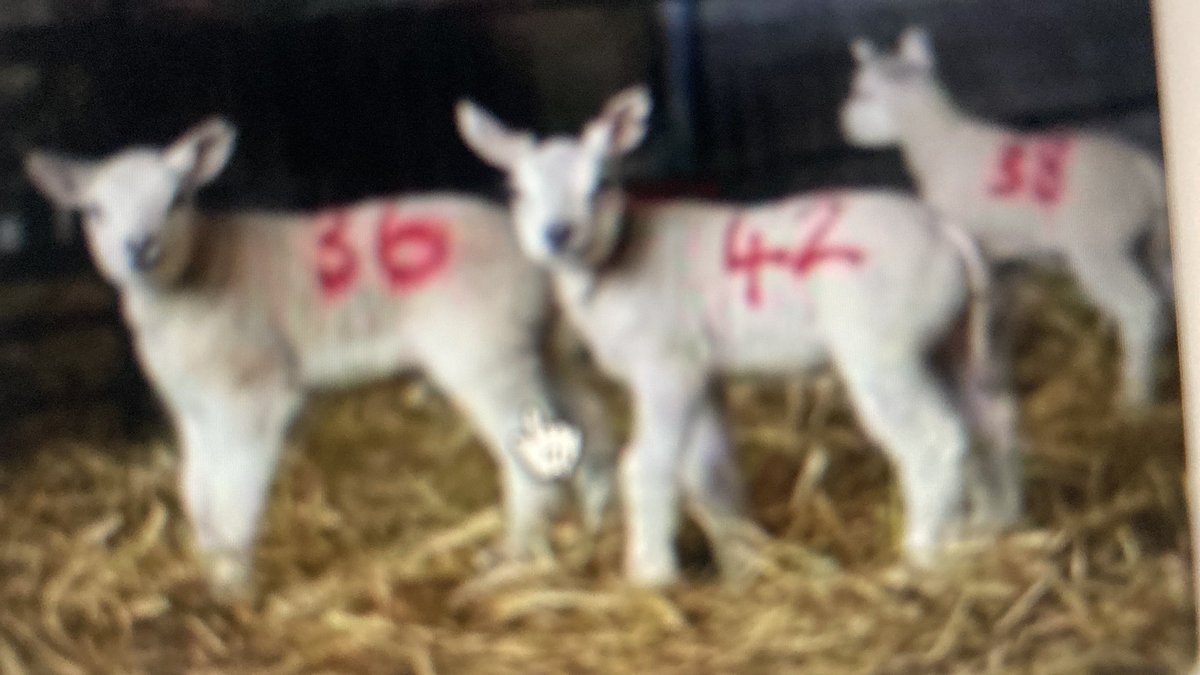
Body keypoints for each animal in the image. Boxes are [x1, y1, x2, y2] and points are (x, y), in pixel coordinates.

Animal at [24, 117, 616, 596]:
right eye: (94, 210)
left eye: (177, 200)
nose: (138, 246)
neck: (195, 279)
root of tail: (533, 248)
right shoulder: (195, 404)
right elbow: (197, 492)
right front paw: (210, 567)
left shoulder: (253, 392)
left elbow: (235, 491)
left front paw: (234, 589)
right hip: (544, 343)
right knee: (587, 423)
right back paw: (594, 522)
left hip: (485, 351)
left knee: (528, 451)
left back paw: (515, 557)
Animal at [456, 86, 1022, 586]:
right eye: (516, 191)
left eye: (600, 183)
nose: (558, 234)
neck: (611, 268)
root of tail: (946, 233)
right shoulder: (702, 371)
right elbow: (709, 472)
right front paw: (741, 565)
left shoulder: (668, 367)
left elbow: (648, 465)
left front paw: (650, 574)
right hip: (949, 340)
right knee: (990, 421)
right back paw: (992, 528)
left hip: (882, 346)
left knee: (934, 440)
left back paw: (920, 557)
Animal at [841, 26, 1172, 407]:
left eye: (862, 92)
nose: (843, 126)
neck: (939, 145)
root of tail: (1144, 169)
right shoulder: (998, 252)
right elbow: (993, 303)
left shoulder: (966, 241)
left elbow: (979, 302)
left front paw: (980, 365)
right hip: (1149, 239)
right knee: (1163, 291)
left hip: (1100, 244)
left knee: (1140, 306)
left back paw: (1135, 395)